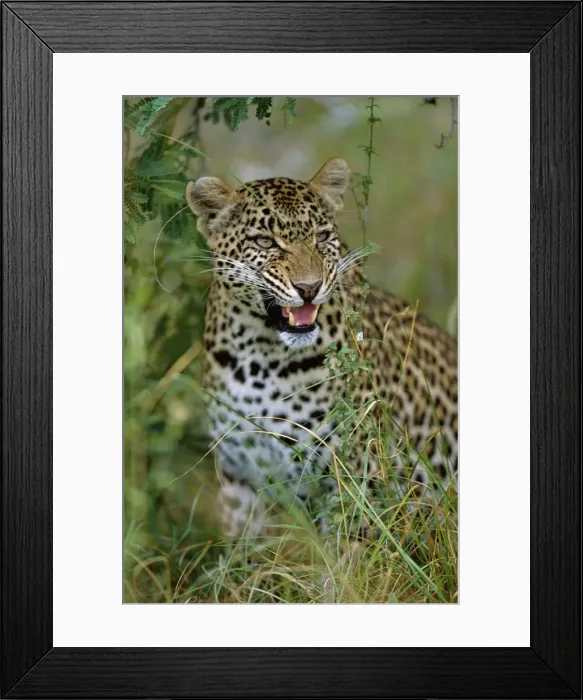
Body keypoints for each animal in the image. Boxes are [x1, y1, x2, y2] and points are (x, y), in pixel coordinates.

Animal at [186, 158, 457, 538]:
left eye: (322, 238)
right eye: (266, 242)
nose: (309, 288)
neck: (258, 354)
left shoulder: (357, 477)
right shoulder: (238, 478)